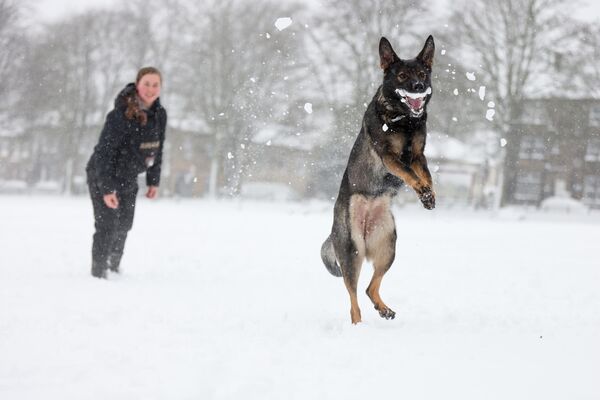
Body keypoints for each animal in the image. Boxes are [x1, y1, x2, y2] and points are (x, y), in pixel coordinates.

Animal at [322, 35, 434, 324]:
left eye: (422, 74)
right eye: (402, 76)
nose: (419, 87)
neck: (404, 120)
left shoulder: (418, 156)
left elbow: (425, 175)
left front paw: (429, 195)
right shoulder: (389, 157)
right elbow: (410, 174)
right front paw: (423, 190)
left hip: (388, 247)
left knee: (370, 288)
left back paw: (384, 309)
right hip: (352, 252)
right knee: (353, 298)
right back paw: (358, 325)